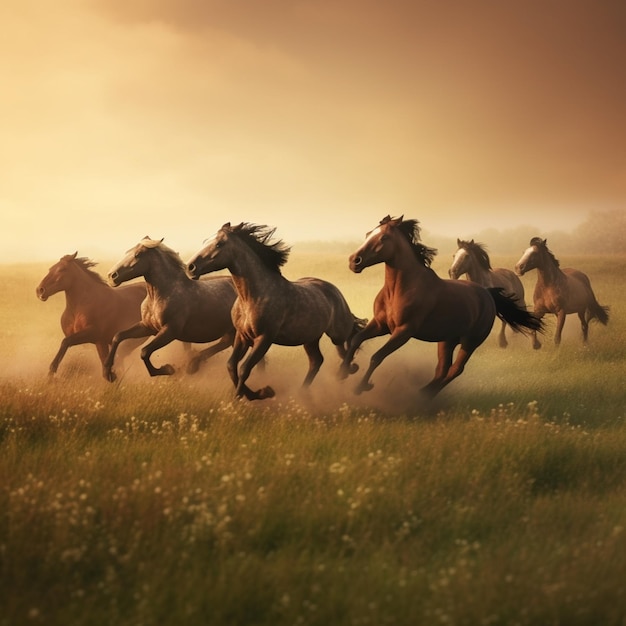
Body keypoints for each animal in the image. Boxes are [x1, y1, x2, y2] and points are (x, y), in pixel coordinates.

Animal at [105, 235, 236, 378]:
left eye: (138, 254)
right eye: (127, 251)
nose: (111, 276)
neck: (160, 295)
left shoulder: (170, 331)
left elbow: (144, 352)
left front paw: (167, 369)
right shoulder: (147, 326)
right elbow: (118, 336)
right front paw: (108, 372)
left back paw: (192, 365)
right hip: (231, 331)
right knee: (225, 343)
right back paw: (193, 364)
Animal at [185, 222, 366, 400]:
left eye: (219, 244)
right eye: (205, 241)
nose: (191, 267)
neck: (251, 297)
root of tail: (334, 290)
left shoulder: (264, 338)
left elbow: (244, 368)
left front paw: (252, 395)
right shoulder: (242, 335)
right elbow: (231, 365)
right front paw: (254, 393)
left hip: (336, 333)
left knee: (345, 346)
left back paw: (347, 371)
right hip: (310, 338)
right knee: (317, 361)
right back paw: (303, 392)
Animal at [336, 217, 540, 398]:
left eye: (384, 237)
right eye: (368, 233)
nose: (354, 261)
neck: (398, 289)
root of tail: (488, 294)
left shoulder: (403, 331)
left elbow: (377, 356)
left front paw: (361, 387)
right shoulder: (380, 324)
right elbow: (356, 340)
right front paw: (343, 372)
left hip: (470, 341)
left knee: (455, 369)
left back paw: (422, 396)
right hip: (447, 340)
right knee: (442, 370)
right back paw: (422, 394)